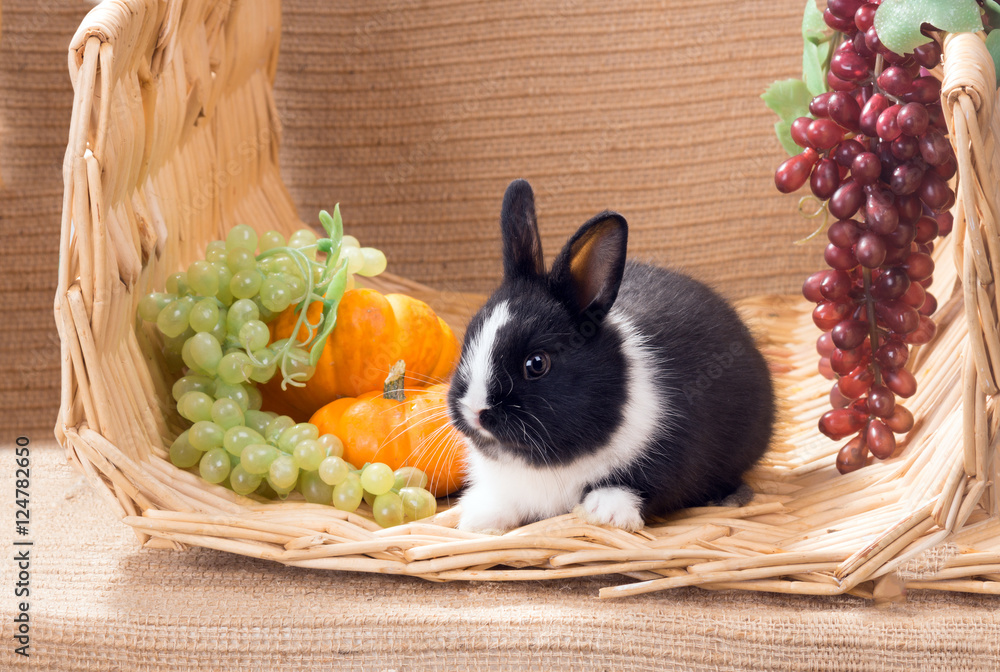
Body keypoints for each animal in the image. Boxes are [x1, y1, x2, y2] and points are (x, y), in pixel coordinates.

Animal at [446, 179, 775, 534]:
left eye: (536, 364)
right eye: (469, 339)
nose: (475, 410)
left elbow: (639, 484)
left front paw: (604, 512)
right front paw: (480, 520)